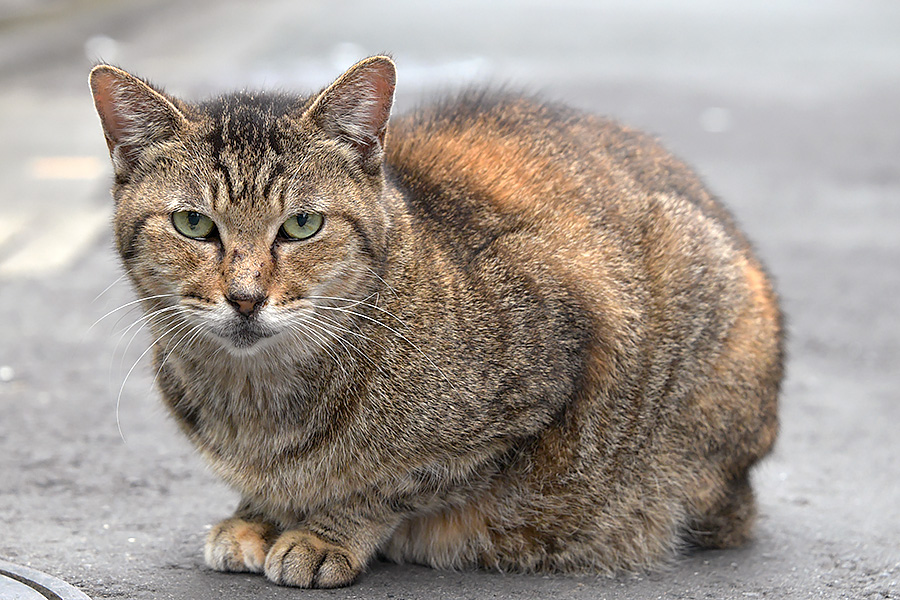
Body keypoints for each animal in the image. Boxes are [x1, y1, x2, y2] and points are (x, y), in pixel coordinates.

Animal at [91, 57, 780, 592]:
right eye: (194, 224)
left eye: (302, 225)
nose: (244, 297)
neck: (256, 400)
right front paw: (258, 513)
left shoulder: (553, 366)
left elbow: (394, 482)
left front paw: (324, 531)